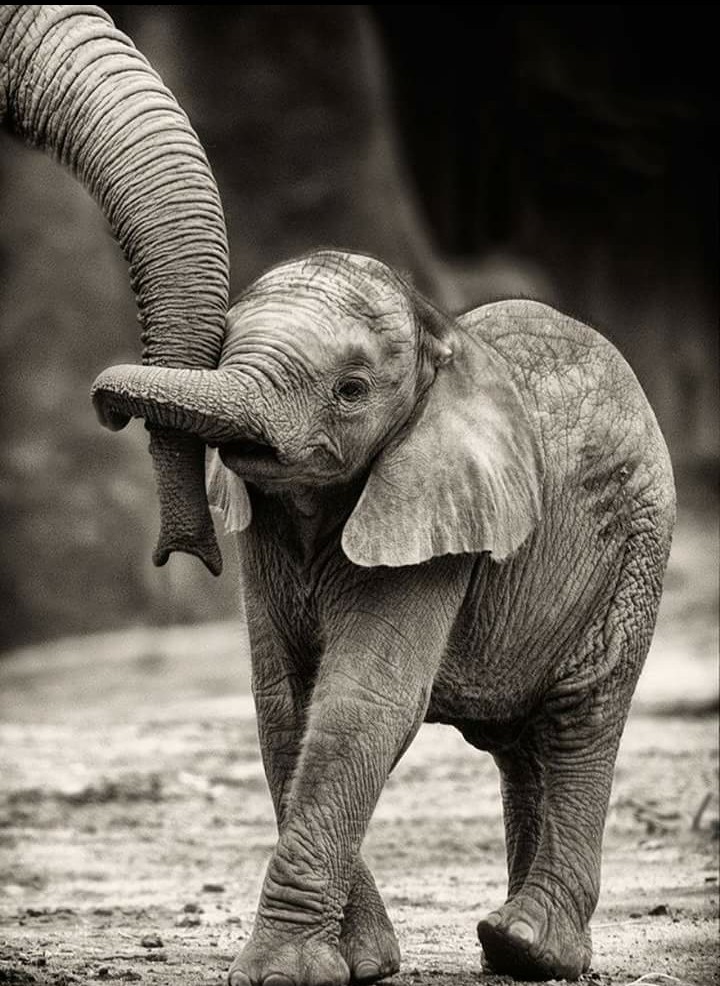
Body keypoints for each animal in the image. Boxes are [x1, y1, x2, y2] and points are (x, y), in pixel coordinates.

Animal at [92, 249, 676, 983]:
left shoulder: (434, 510)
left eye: (352, 390)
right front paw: (364, 962)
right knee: (523, 748)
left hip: (634, 549)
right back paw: (506, 949)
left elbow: (361, 704)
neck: (437, 344)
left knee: (581, 716)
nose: (110, 414)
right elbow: (285, 706)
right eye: (223, 349)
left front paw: (281, 974)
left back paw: (532, 946)